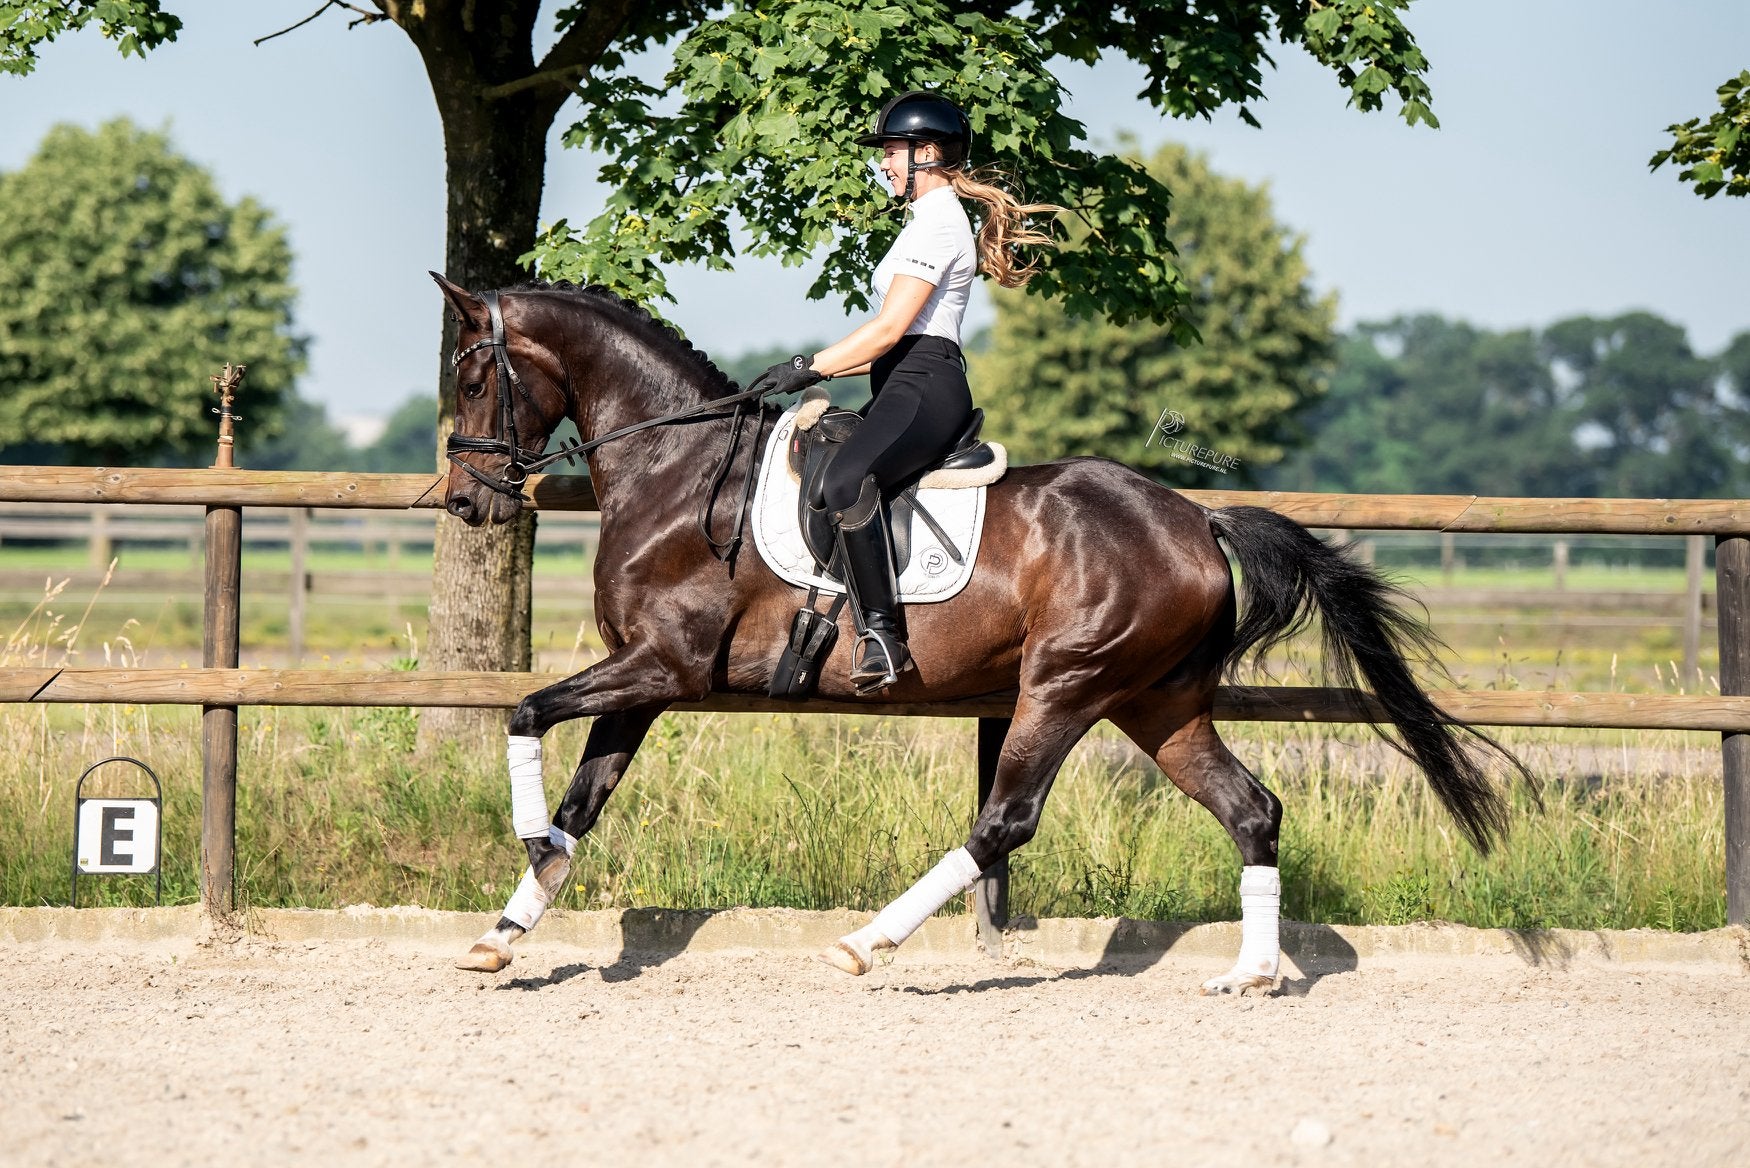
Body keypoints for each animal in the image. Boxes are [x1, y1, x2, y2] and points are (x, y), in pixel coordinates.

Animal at [432, 273, 1531, 994]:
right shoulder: (646, 680)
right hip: (1157, 701)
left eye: (474, 374)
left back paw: (867, 943)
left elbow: (524, 713)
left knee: (1003, 821)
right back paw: (1252, 975)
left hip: (1067, 686)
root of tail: (1195, 520)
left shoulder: (660, 665)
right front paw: (505, 927)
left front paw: (526, 845)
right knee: (1252, 808)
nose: (466, 501)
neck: (679, 470)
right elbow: (583, 797)